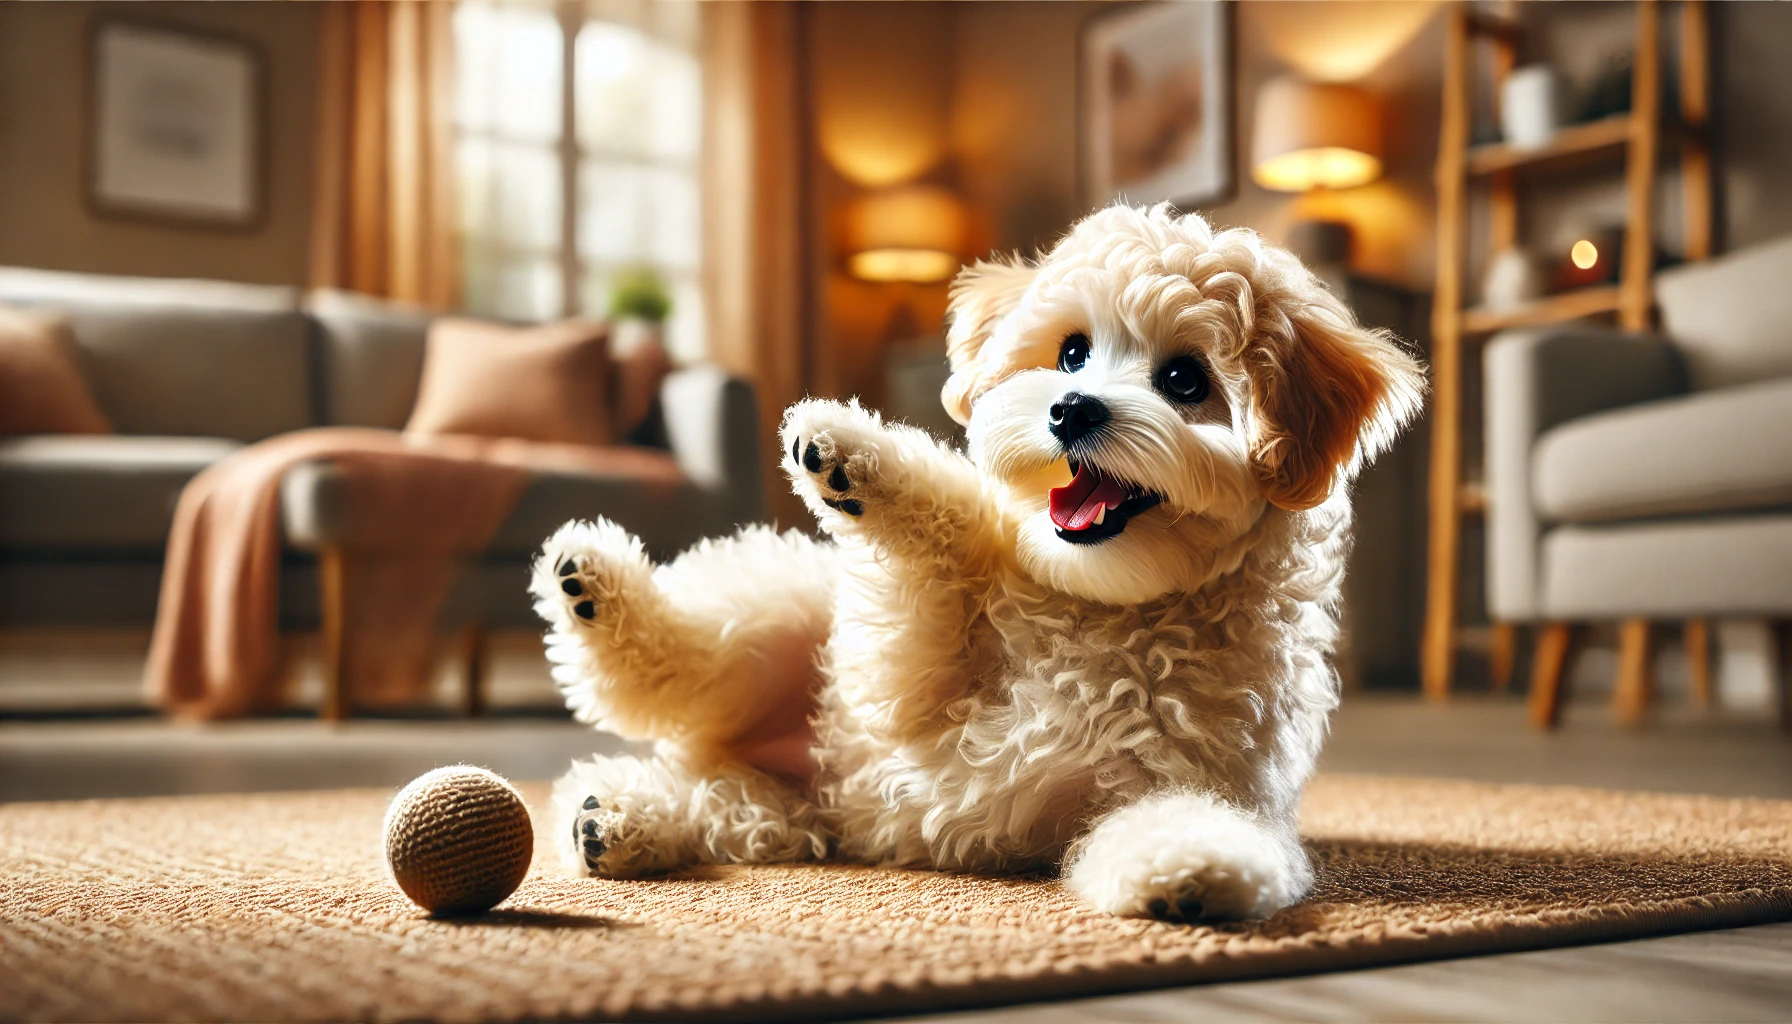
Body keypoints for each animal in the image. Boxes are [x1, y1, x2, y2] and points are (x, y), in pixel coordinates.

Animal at [530, 204, 1426, 925]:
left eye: (1184, 378)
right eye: (1072, 353)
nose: (1072, 409)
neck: (1108, 608)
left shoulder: (1205, 776)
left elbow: (1186, 821)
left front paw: (1190, 870)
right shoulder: (894, 686)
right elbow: (951, 528)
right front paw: (852, 455)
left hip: (792, 810)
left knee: (721, 800)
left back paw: (615, 814)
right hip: (775, 621)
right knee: (680, 658)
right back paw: (592, 590)